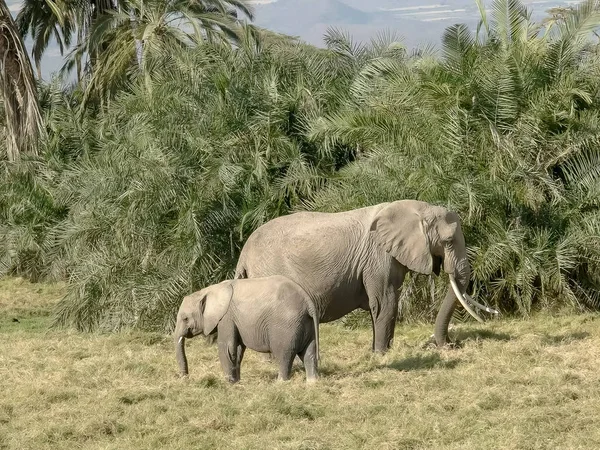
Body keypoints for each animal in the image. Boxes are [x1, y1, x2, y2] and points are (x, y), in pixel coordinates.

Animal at [175, 274, 318, 384]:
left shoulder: (226, 317)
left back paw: (280, 383)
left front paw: (228, 384)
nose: (185, 378)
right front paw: (237, 383)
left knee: (284, 354)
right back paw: (312, 383)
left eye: (185, 319)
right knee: (309, 352)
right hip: (306, 324)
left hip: (286, 326)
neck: (208, 291)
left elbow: (226, 348)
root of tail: (307, 301)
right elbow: (237, 350)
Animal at [234, 200, 496, 352]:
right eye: (449, 241)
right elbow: (386, 302)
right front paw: (382, 355)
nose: (453, 345)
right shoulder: (378, 257)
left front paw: (378, 352)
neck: (415, 208)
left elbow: (380, 306)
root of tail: (243, 254)